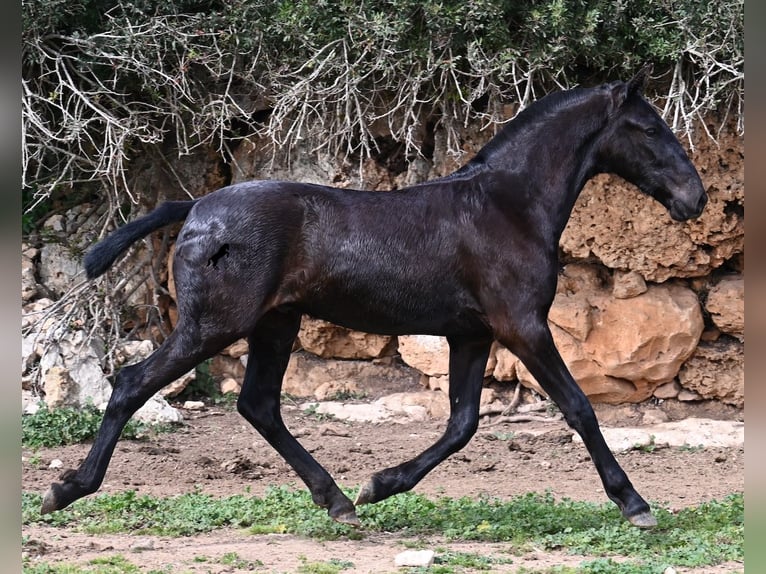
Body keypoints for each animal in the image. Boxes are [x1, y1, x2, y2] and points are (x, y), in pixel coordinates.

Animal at [42, 65, 708, 528]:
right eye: (649, 128)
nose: (695, 198)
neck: (507, 206)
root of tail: (197, 207)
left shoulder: (472, 334)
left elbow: (463, 423)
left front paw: (381, 483)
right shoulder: (522, 326)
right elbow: (578, 408)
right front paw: (636, 504)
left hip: (275, 323)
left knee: (258, 404)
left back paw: (338, 499)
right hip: (215, 325)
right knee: (133, 384)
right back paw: (66, 490)